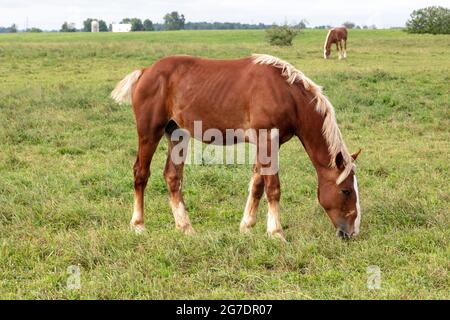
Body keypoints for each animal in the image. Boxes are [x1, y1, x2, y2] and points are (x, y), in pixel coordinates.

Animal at [112, 54, 362, 240]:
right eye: (346, 191)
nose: (352, 232)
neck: (287, 93)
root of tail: (145, 71)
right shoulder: (267, 139)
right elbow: (273, 188)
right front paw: (276, 232)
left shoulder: (267, 144)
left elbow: (257, 185)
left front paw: (247, 226)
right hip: (149, 133)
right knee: (141, 173)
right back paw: (138, 225)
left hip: (177, 134)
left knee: (172, 177)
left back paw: (185, 227)